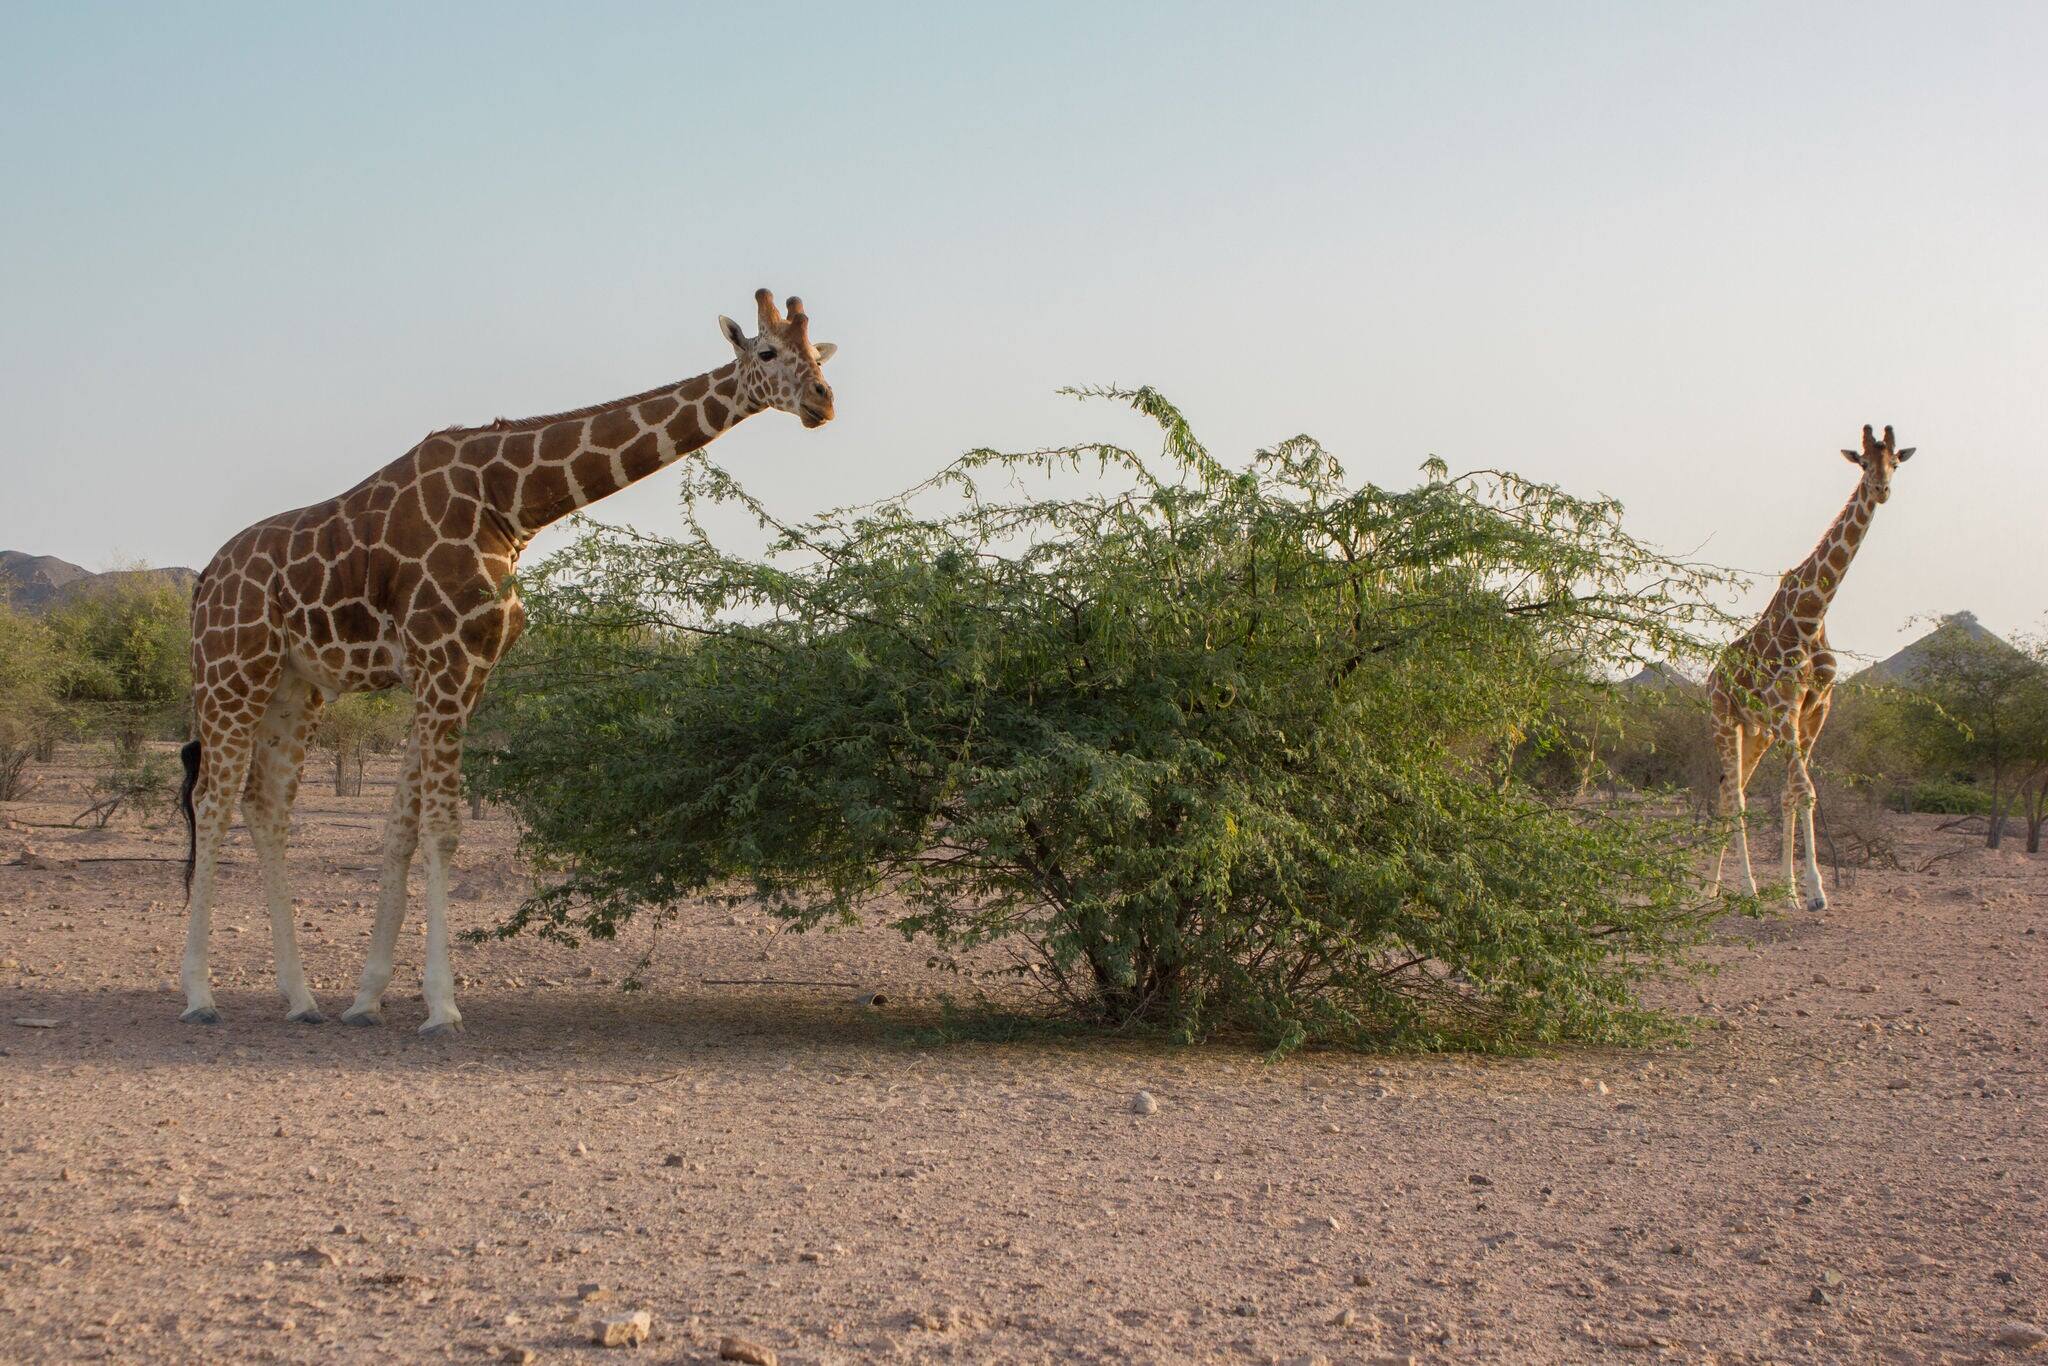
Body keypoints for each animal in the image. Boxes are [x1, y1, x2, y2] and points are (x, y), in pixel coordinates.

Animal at [174, 288, 837, 1033]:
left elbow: (402, 828)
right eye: (767, 352)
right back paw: (200, 997)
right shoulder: (442, 658)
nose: (823, 400)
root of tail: (205, 578)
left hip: (296, 686)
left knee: (267, 807)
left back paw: (302, 998)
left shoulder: (465, 668)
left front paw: (368, 997)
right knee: (212, 800)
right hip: (229, 672)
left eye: (819, 354)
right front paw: (441, 1005)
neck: (512, 505)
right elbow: (442, 828)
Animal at [1709, 423, 1915, 910]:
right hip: (1724, 720)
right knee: (1735, 794)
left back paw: (1713, 888)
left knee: (1731, 791)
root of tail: (1710, 678)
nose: (1881, 489)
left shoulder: (1815, 709)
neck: (1811, 614)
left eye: (1896, 462)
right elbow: (1804, 790)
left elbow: (1792, 793)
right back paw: (1742, 889)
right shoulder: (1786, 709)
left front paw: (1792, 892)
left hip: (1758, 733)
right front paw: (1817, 893)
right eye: (1863, 461)